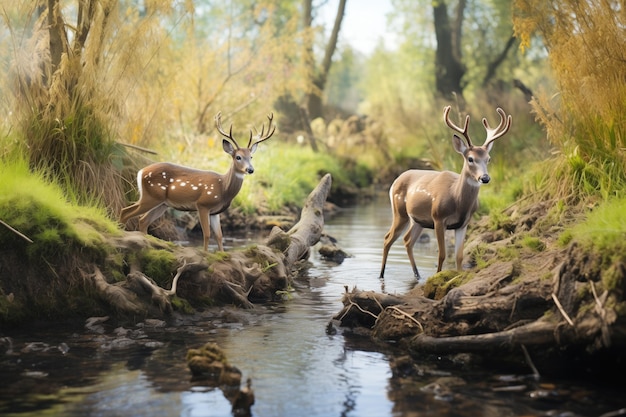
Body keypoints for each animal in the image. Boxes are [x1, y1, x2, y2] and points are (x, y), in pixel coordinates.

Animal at [118, 111, 274, 250]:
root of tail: (141, 172)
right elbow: (207, 234)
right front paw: (205, 254)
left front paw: (222, 255)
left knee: (143, 220)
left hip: (162, 204)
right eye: (238, 157)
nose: (250, 169)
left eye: (251, 157)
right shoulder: (203, 204)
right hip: (151, 196)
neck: (223, 189)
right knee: (125, 211)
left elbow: (219, 236)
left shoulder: (216, 212)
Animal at [378, 105, 510, 278]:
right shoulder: (438, 218)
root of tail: (396, 180)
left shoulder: (463, 224)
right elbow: (442, 254)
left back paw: (417, 274)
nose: (485, 178)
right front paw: (438, 276)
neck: (458, 201)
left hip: (418, 220)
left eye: (488, 159)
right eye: (470, 159)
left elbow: (459, 256)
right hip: (400, 212)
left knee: (407, 240)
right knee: (387, 238)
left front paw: (458, 276)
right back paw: (381, 274)